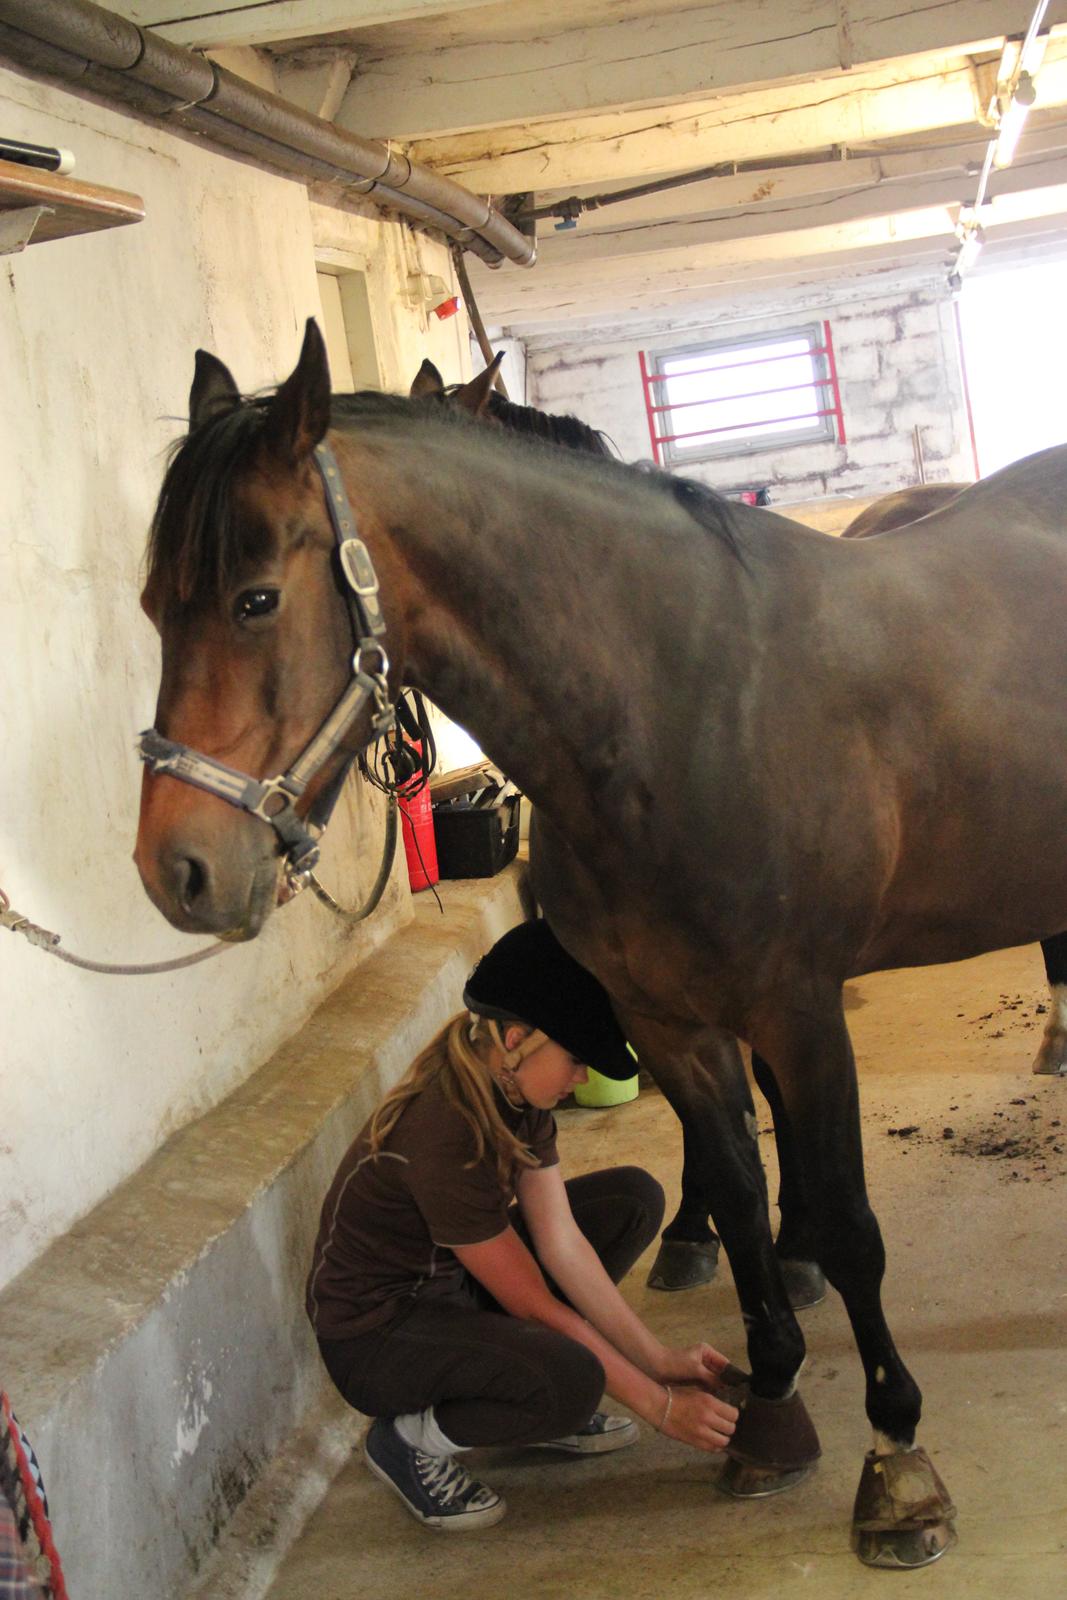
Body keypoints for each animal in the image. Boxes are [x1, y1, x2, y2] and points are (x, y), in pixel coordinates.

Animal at [135, 319, 1067, 1566]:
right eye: (153, 603)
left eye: (253, 599)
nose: (178, 870)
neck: (678, 708)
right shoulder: (665, 1018)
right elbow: (734, 1192)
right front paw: (767, 1410)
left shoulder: (798, 1013)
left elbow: (850, 1226)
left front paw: (896, 1463)